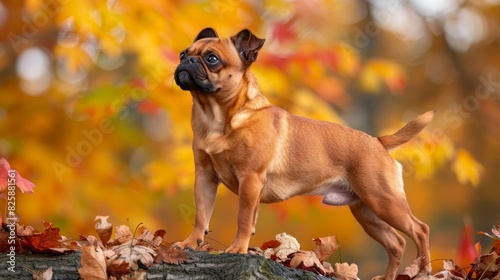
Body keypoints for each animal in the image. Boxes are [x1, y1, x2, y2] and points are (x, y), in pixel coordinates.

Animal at [174, 26, 432, 280]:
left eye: (212, 59)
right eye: (183, 54)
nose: (187, 61)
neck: (217, 116)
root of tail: (378, 142)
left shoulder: (250, 178)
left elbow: (244, 218)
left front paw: (237, 249)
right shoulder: (205, 176)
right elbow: (202, 215)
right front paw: (190, 243)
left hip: (383, 201)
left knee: (420, 229)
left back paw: (424, 270)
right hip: (367, 212)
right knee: (396, 243)